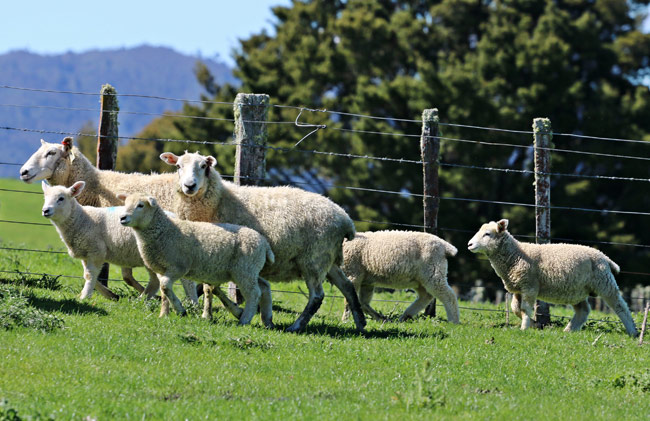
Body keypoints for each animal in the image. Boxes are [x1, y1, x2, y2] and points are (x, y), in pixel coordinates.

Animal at [40, 180, 196, 302]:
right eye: (45, 197)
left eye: (61, 198)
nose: (45, 210)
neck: (81, 219)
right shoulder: (85, 252)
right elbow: (88, 275)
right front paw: (110, 295)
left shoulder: (96, 251)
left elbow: (90, 275)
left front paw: (85, 296)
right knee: (156, 281)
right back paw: (142, 300)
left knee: (186, 280)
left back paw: (192, 303)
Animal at [117, 192, 274, 326]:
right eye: (125, 203)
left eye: (140, 205)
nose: (122, 218)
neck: (165, 231)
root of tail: (263, 242)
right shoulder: (161, 269)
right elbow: (163, 291)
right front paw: (164, 314)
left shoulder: (179, 267)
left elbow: (165, 286)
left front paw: (180, 310)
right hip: (248, 270)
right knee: (265, 286)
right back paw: (266, 320)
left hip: (244, 271)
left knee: (254, 293)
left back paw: (245, 320)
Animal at [159, 151, 368, 332]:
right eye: (178, 166)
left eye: (203, 166)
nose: (189, 186)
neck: (219, 201)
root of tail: (345, 219)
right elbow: (211, 285)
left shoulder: (219, 250)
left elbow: (210, 286)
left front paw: (214, 314)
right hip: (327, 258)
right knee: (347, 286)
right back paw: (360, 324)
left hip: (314, 260)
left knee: (317, 296)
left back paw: (296, 326)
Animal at [466, 218, 636, 336]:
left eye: (487, 234)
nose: (469, 244)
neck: (516, 254)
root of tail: (604, 256)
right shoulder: (518, 288)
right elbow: (515, 308)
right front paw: (533, 324)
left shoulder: (529, 286)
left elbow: (525, 308)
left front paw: (524, 327)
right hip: (576, 290)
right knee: (583, 310)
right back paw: (569, 330)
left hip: (604, 282)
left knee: (620, 306)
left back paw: (633, 332)